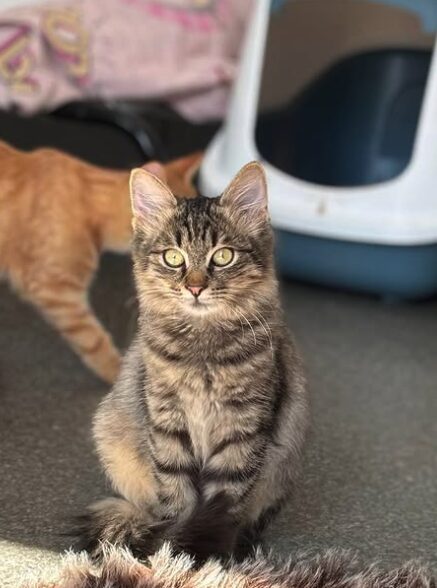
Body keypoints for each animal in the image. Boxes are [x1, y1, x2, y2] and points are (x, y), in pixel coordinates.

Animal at [78, 161, 308, 560]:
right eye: (173, 258)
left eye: (223, 256)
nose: (195, 287)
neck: (203, 350)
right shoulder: (167, 419)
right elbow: (177, 494)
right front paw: (175, 553)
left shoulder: (243, 426)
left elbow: (225, 500)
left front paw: (209, 553)